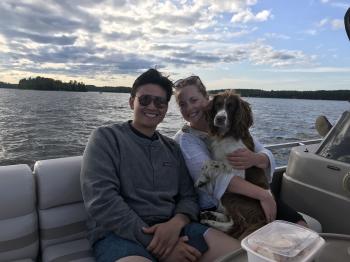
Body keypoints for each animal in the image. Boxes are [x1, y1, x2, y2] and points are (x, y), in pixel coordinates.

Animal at [196, 90, 270, 239]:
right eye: (217, 105)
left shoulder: (238, 166)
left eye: (231, 107)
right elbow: (208, 159)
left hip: (230, 194)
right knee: (229, 217)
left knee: (238, 224)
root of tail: (263, 220)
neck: (226, 135)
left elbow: (213, 163)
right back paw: (210, 214)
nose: (219, 119)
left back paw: (210, 222)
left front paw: (202, 179)